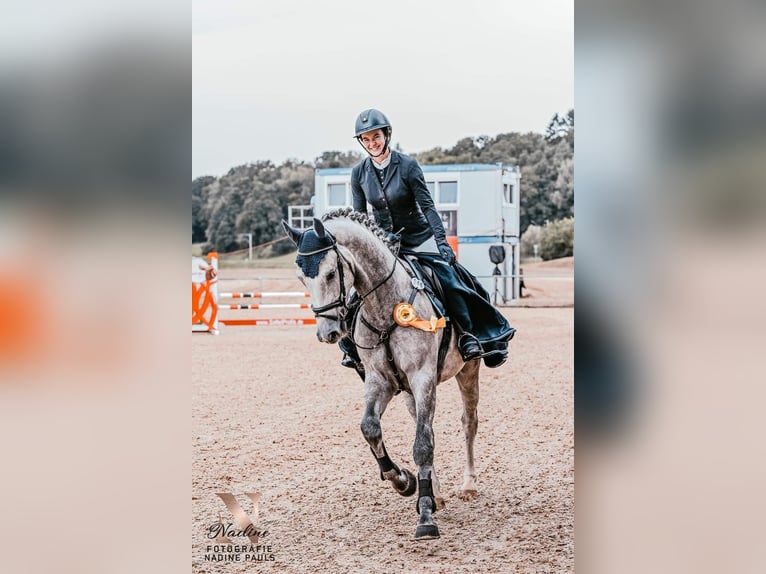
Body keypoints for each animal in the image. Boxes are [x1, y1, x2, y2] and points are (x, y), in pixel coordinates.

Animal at [282, 209, 484, 544]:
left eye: (330, 274)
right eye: (301, 278)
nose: (327, 333)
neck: (384, 307)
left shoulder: (423, 377)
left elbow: (422, 445)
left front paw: (425, 518)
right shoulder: (381, 381)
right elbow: (371, 428)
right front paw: (403, 481)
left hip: (468, 371)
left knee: (468, 422)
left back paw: (467, 486)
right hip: (410, 393)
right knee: (423, 425)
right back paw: (436, 493)